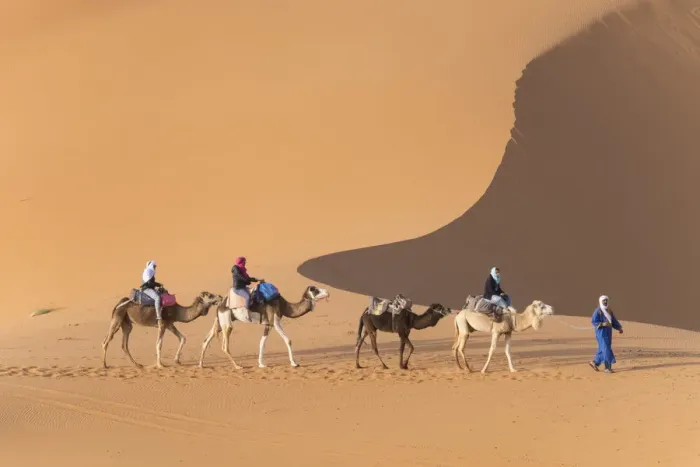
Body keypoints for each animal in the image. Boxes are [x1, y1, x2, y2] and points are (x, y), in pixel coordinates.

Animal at [198, 284, 330, 369]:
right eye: (315, 290)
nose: (328, 292)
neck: (283, 305)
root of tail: (220, 305)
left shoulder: (269, 323)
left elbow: (263, 342)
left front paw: (261, 363)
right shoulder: (273, 322)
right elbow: (286, 340)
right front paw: (294, 363)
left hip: (221, 322)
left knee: (206, 339)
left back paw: (200, 365)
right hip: (227, 323)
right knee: (224, 346)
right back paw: (237, 366)